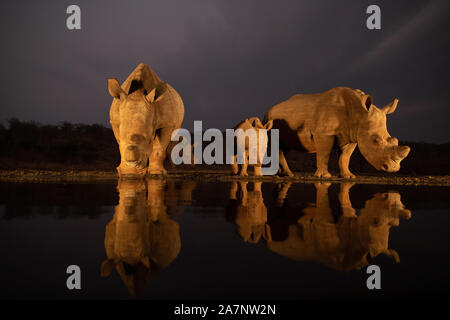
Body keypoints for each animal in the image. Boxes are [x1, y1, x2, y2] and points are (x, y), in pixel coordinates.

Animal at [264, 87, 412, 178]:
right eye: (375, 141)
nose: (393, 169)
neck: (359, 113)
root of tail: (269, 110)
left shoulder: (353, 135)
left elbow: (345, 157)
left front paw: (348, 176)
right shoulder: (324, 133)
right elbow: (324, 153)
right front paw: (324, 176)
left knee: (284, 147)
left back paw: (283, 174)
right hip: (269, 120)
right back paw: (288, 175)